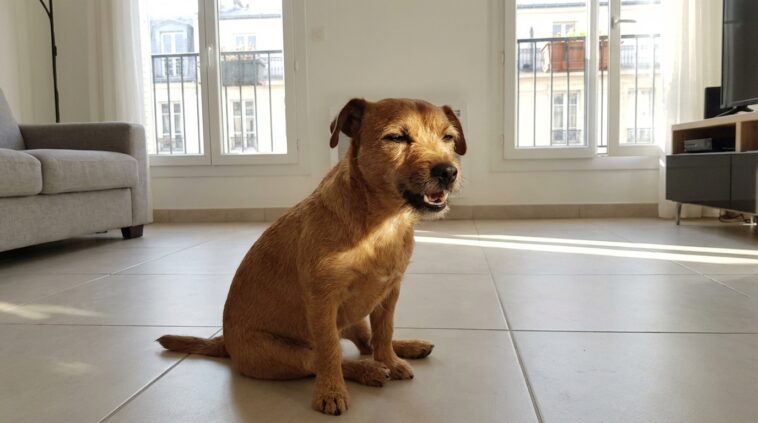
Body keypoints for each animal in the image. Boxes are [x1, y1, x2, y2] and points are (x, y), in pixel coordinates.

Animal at [158, 98, 466, 415]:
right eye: (396, 138)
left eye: (448, 137)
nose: (447, 171)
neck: (382, 223)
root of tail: (226, 344)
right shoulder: (323, 301)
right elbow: (329, 352)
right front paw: (331, 392)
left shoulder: (389, 293)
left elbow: (385, 331)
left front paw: (390, 361)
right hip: (280, 352)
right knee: (322, 359)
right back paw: (367, 371)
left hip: (355, 319)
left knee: (368, 342)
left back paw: (405, 349)